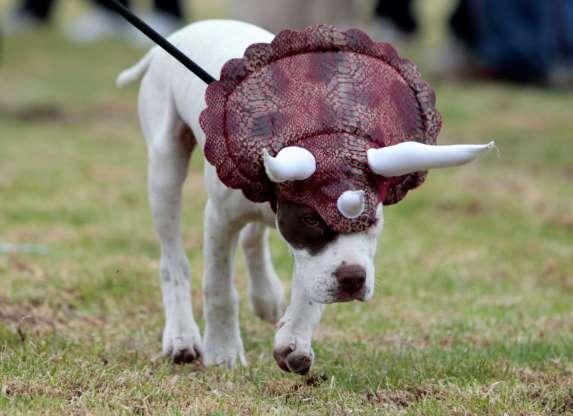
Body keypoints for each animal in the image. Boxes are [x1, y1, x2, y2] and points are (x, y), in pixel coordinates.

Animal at [117, 18, 492, 374]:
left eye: (372, 219)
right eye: (312, 218)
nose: (353, 279)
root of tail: (180, 35)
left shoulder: (305, 245)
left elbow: (310, 289)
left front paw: (293, 340)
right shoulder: (221, 219)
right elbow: (219, 287)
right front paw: (223, 351)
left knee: (253, 237)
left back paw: (266, 296)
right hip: (165, 165)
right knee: (173, 259)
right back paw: (181, 336)